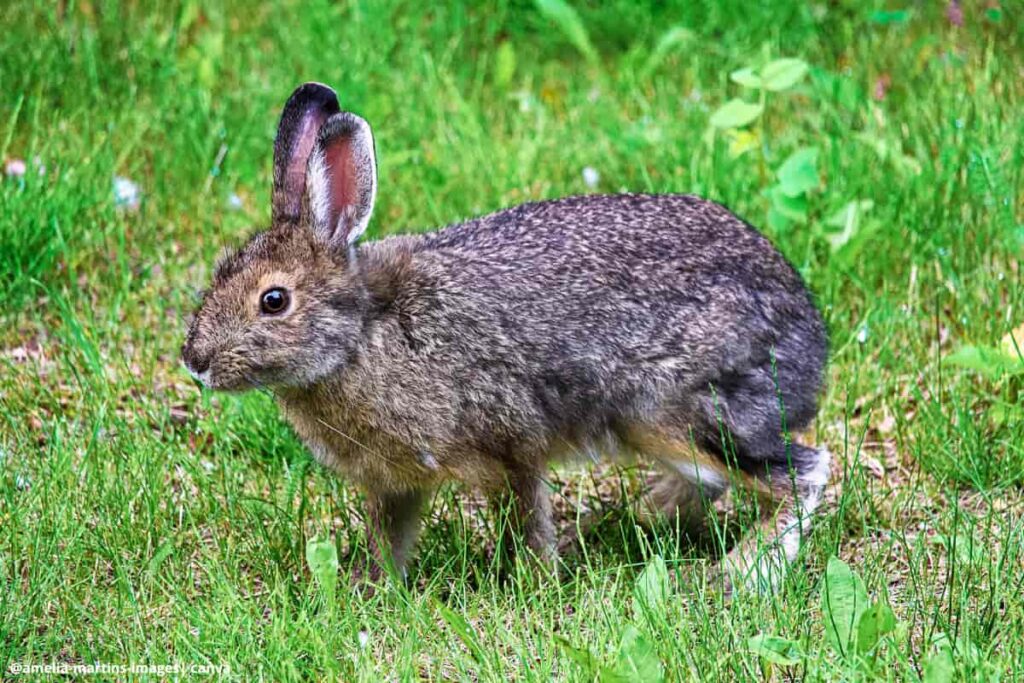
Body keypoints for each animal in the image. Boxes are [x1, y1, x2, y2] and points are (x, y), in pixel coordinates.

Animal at [182, 82, 831, 593]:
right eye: (219, 271)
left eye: (274, 301)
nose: (195, 361)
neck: (363, 337)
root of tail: (810, 341)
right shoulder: (396, 483)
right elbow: (389, 538)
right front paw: (365, 592)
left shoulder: (513, 442)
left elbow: (526, 518)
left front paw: (537, 584)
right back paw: (639, 518)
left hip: (677, 407)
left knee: (801, 472)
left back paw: (737, 572)